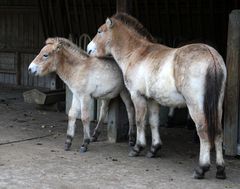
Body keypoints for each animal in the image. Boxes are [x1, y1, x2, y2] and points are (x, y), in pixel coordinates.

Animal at [87, 12, 227, 179]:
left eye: (100, 31)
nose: (88, 49)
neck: (136, 53)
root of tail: (211, 55)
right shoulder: (152, 100)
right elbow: (153, 122)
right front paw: (154, 149)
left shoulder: (137, 96)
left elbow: (140, 120)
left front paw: (137, 148)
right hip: (217, 105)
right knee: (218, 132)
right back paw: (220, 170)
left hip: (196, 106)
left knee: (203, 131)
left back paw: (201, 168)